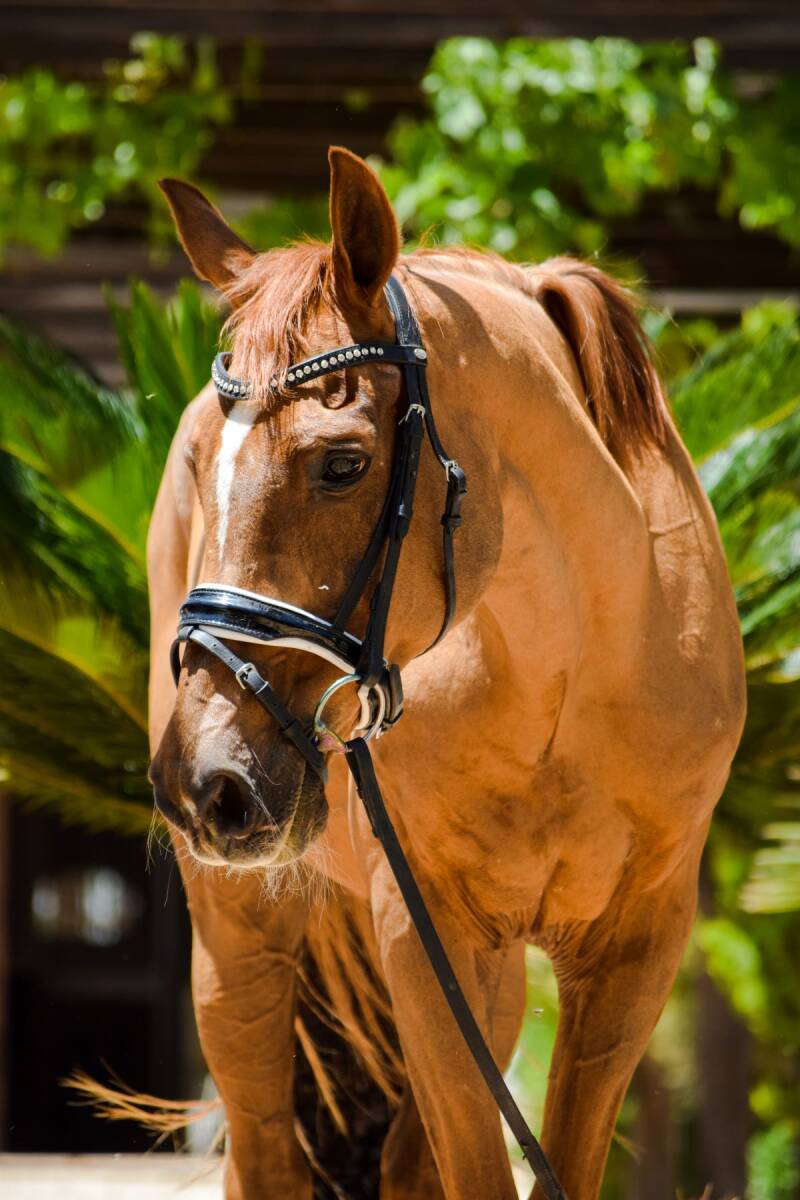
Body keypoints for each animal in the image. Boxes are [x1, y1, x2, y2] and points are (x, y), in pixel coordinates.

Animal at [146, 146, 745, 1199]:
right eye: (200, 466)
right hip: (239, 932)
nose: (202, 782)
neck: (570, 677)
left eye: (343, 463)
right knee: (265, 1149)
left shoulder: (634, 950)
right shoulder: (429, 941)